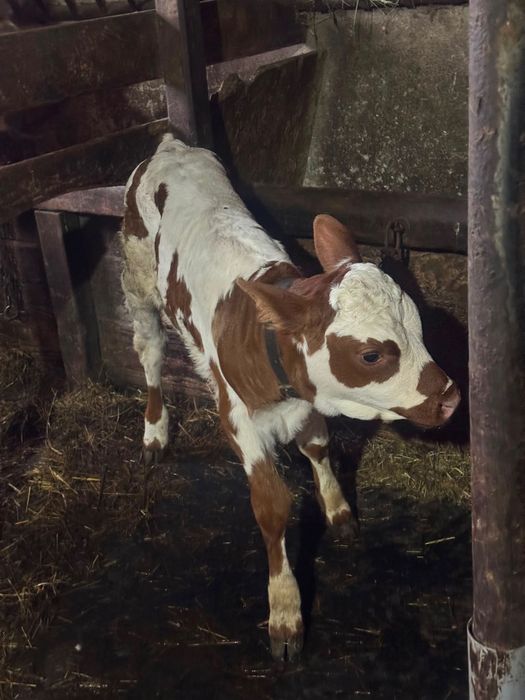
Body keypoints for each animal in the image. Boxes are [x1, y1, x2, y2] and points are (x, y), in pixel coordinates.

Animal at [121, 134, 460, 661]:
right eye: (371, 355)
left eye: (421, 328)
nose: (449, 399)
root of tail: (170, 145)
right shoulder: (238, 419)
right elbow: (272, 507)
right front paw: (284, 611)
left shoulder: (306, 404)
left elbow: (318, 448)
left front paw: (338, 510)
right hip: (138, 279)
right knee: (151, 353)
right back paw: (155, 431)